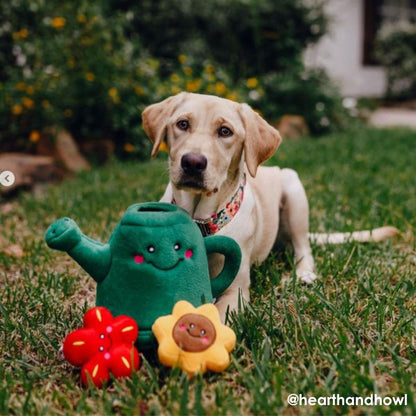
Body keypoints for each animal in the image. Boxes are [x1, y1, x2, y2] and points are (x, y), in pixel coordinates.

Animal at [141, 92, 398, 318]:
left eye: (225, 131)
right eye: (182, 124)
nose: (193, 162)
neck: (201, 220)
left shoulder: (236, 292)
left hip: (293, 188)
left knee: (304, 248)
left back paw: (303, 274)